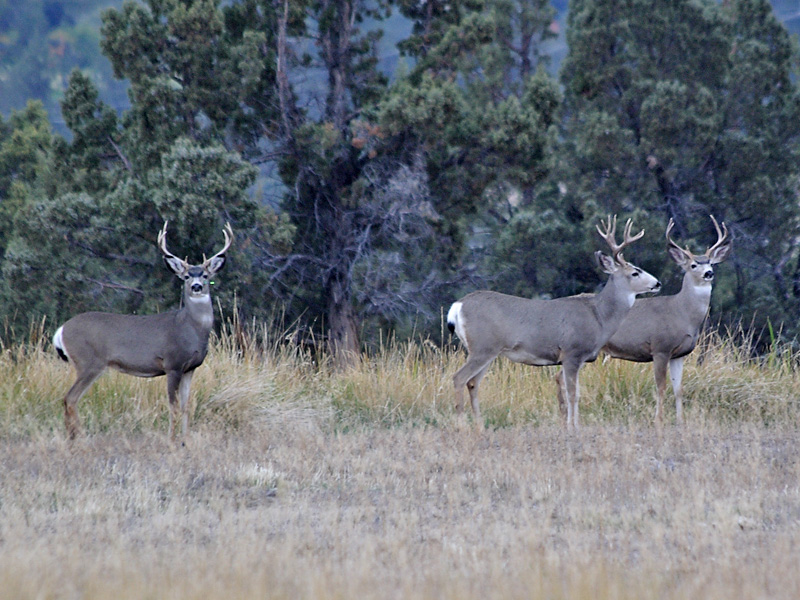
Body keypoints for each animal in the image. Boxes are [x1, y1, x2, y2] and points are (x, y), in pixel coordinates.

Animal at [53, 221, 232, 440]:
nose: (197, 286)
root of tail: (61, 330)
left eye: (206, 275)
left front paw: (185, 441)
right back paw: (80, 438)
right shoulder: (172, 364)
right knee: (70, 398)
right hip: (88, 362)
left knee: (68, 399)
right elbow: (173, 407)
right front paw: (172, 441)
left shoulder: (190, 368)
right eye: (186, 276)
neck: (190, 329)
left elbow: (186, 407)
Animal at [447, 216, 661, 429]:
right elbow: (573, 394)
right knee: (459, 378)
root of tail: (457, 306)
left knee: (473, 383)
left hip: (487, 351)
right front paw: (573, 428)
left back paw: (480, 428)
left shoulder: (576, 358)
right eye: (635, 273)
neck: (599, 316)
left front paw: (570, 426)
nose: (657, 283)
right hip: (482, 347)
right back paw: (461, 426)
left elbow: (570, 393)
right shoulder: (572, 352)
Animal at [570, 215, 731, 426]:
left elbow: (678, 389)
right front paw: (659, 420)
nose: (708, 273)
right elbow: (661, 387)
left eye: (711, 262)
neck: (681, 312)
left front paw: (680, 422)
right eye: (693, 265)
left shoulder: (679, 354)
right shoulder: (660, 348)